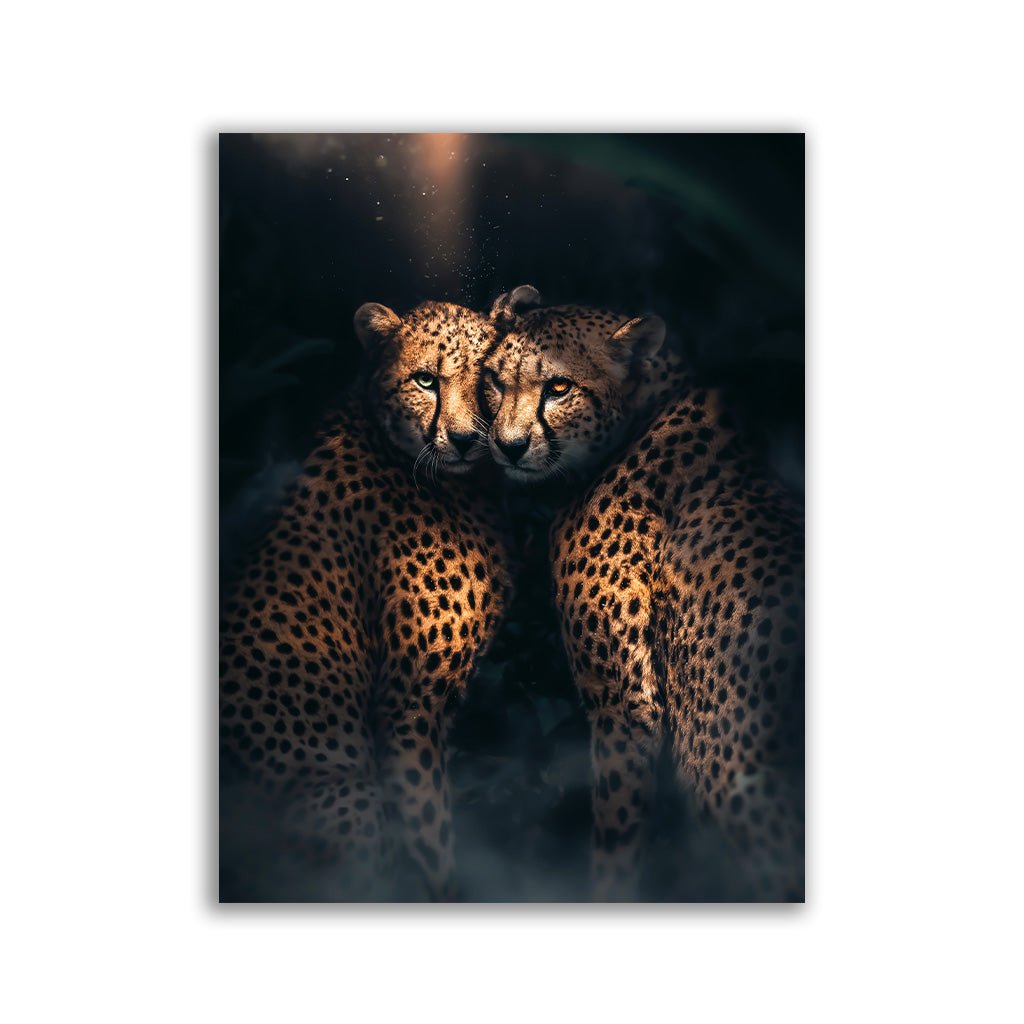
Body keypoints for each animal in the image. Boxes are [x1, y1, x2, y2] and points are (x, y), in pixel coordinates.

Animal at [220, 299, 513, 901]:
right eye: (426, 380)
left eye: (489, 380)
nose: (465, 439)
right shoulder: (408, 707)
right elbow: (430, 838)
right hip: (346, 795)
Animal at [481, 287, 804, 901]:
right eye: (492, 380)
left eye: (559, 387)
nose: (508, 448)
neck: (645, 410)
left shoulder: (624, 706)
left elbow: (616, 837)